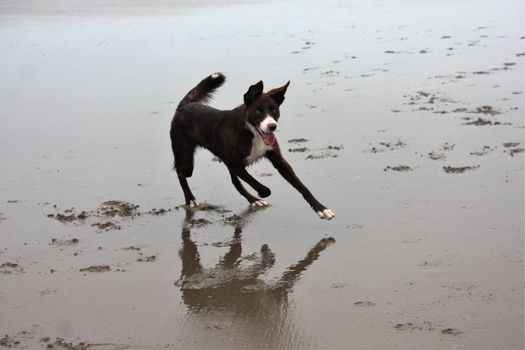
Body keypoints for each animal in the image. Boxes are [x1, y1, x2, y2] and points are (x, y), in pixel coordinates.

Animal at [172, 73, 336, 220]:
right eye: (258, 111)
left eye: (274, 110)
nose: (272, 126)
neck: (251, 131)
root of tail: (184, 105)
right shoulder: (235, 164)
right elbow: (258, 184)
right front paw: (263, 192)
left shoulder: (278, 160)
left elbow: (302, 186)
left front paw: (321, 209)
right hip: (186, 160)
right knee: (180, 173)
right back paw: (190, 199)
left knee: (236, 183)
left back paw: (253, 200)